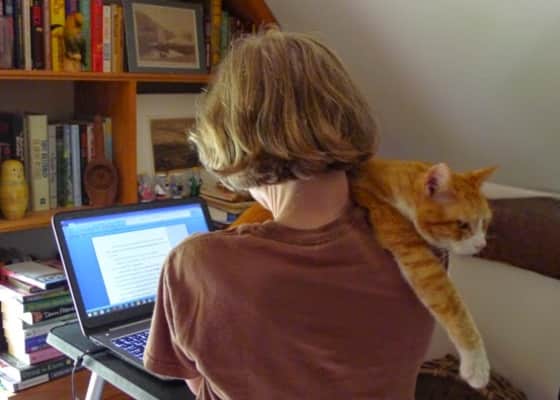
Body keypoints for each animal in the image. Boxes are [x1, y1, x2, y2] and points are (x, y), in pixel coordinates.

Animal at [230, 158, 495, 389]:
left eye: (484, 224)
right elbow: (454, 305)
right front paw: (477, 365)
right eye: (462, 225)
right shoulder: (415, 253)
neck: (393, 188)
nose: (481, 245)